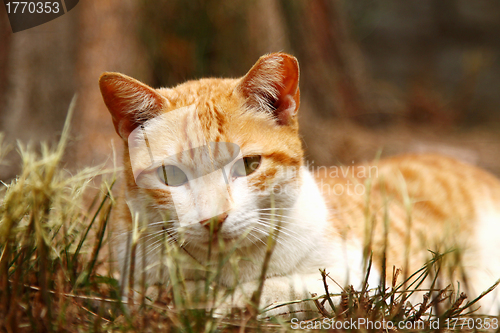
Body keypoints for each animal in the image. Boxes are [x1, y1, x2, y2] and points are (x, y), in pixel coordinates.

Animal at [99, 52, 500, 316]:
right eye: (172, 176)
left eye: (248, 164)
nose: (213, 220)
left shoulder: (366, 282)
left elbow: (279, 288)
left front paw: (223, 301)